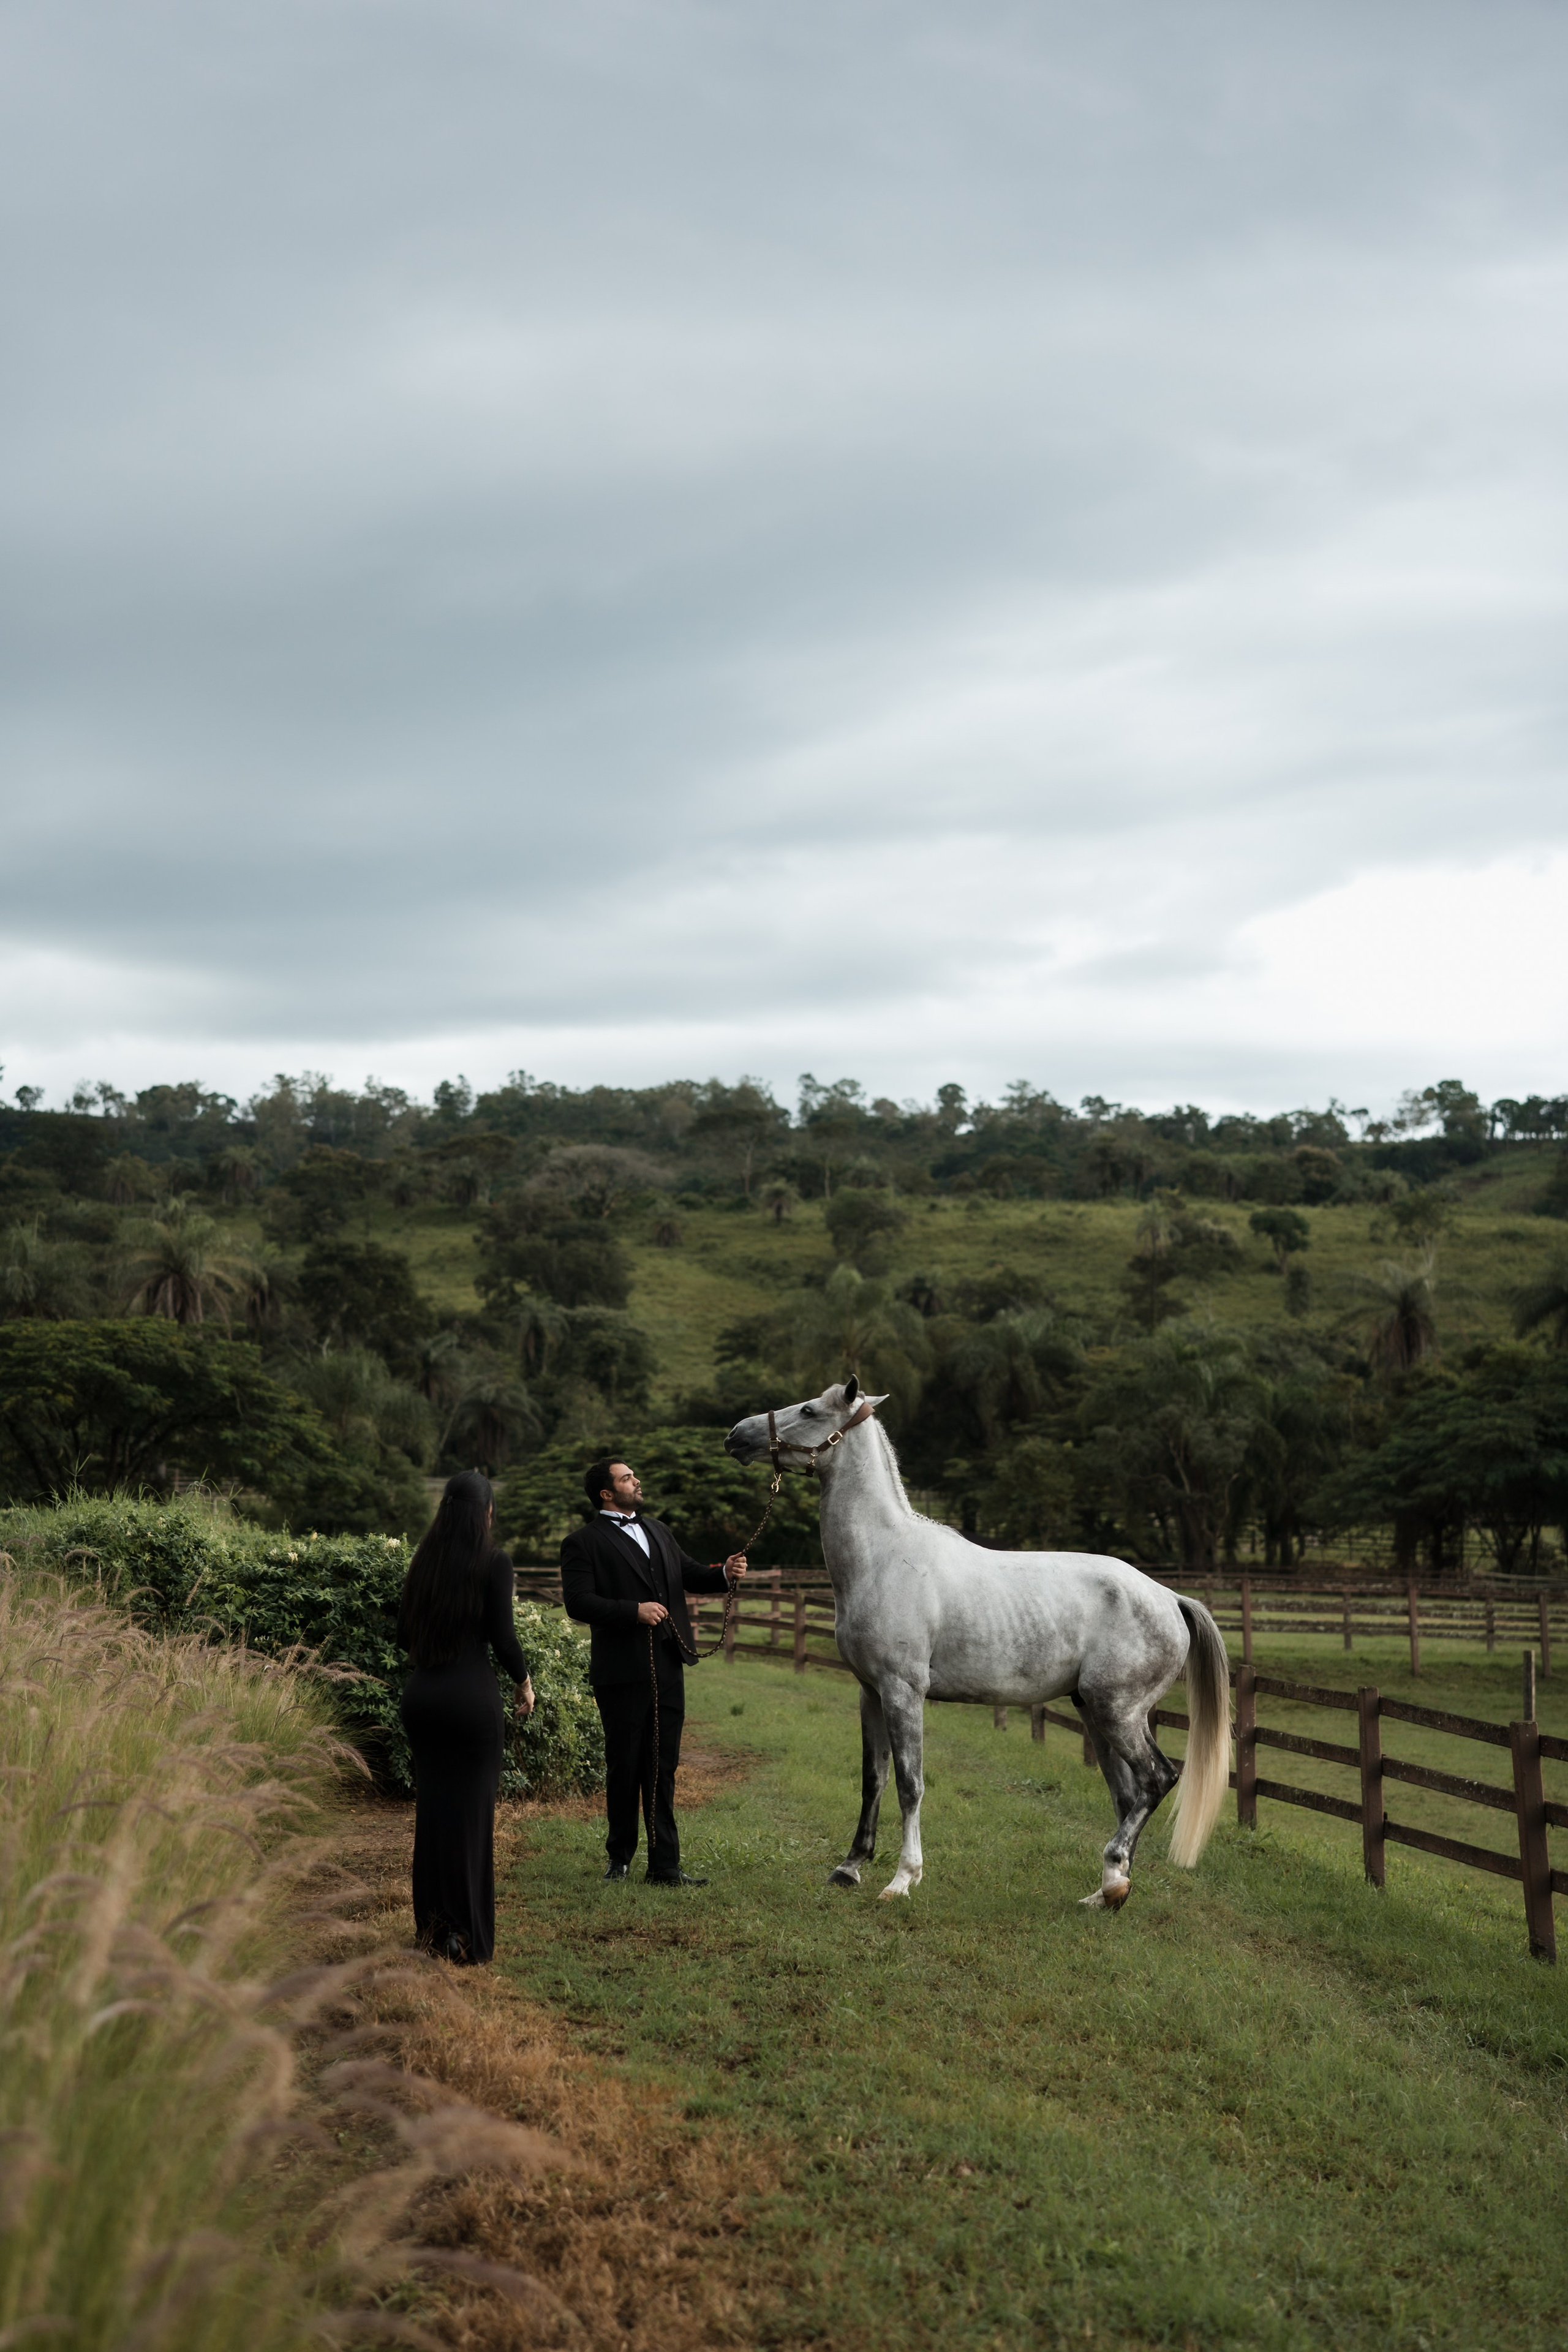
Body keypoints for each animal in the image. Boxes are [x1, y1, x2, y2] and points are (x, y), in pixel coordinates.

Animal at [725, 1378, 1231, 1907]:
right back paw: (1108, 1891)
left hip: (1119, 1711)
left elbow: (910, 1783)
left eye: (808, 1411)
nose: (736, 1435)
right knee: (1128, 1794)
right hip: (1095, 1712)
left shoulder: (903, 1692)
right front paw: (849, 1867)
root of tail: (1170, 1598)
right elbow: (873, 1779)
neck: (884, 1558)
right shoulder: (870, 1693)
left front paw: (903, 1879)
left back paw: (1113, 1875)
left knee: (1156, 1780)